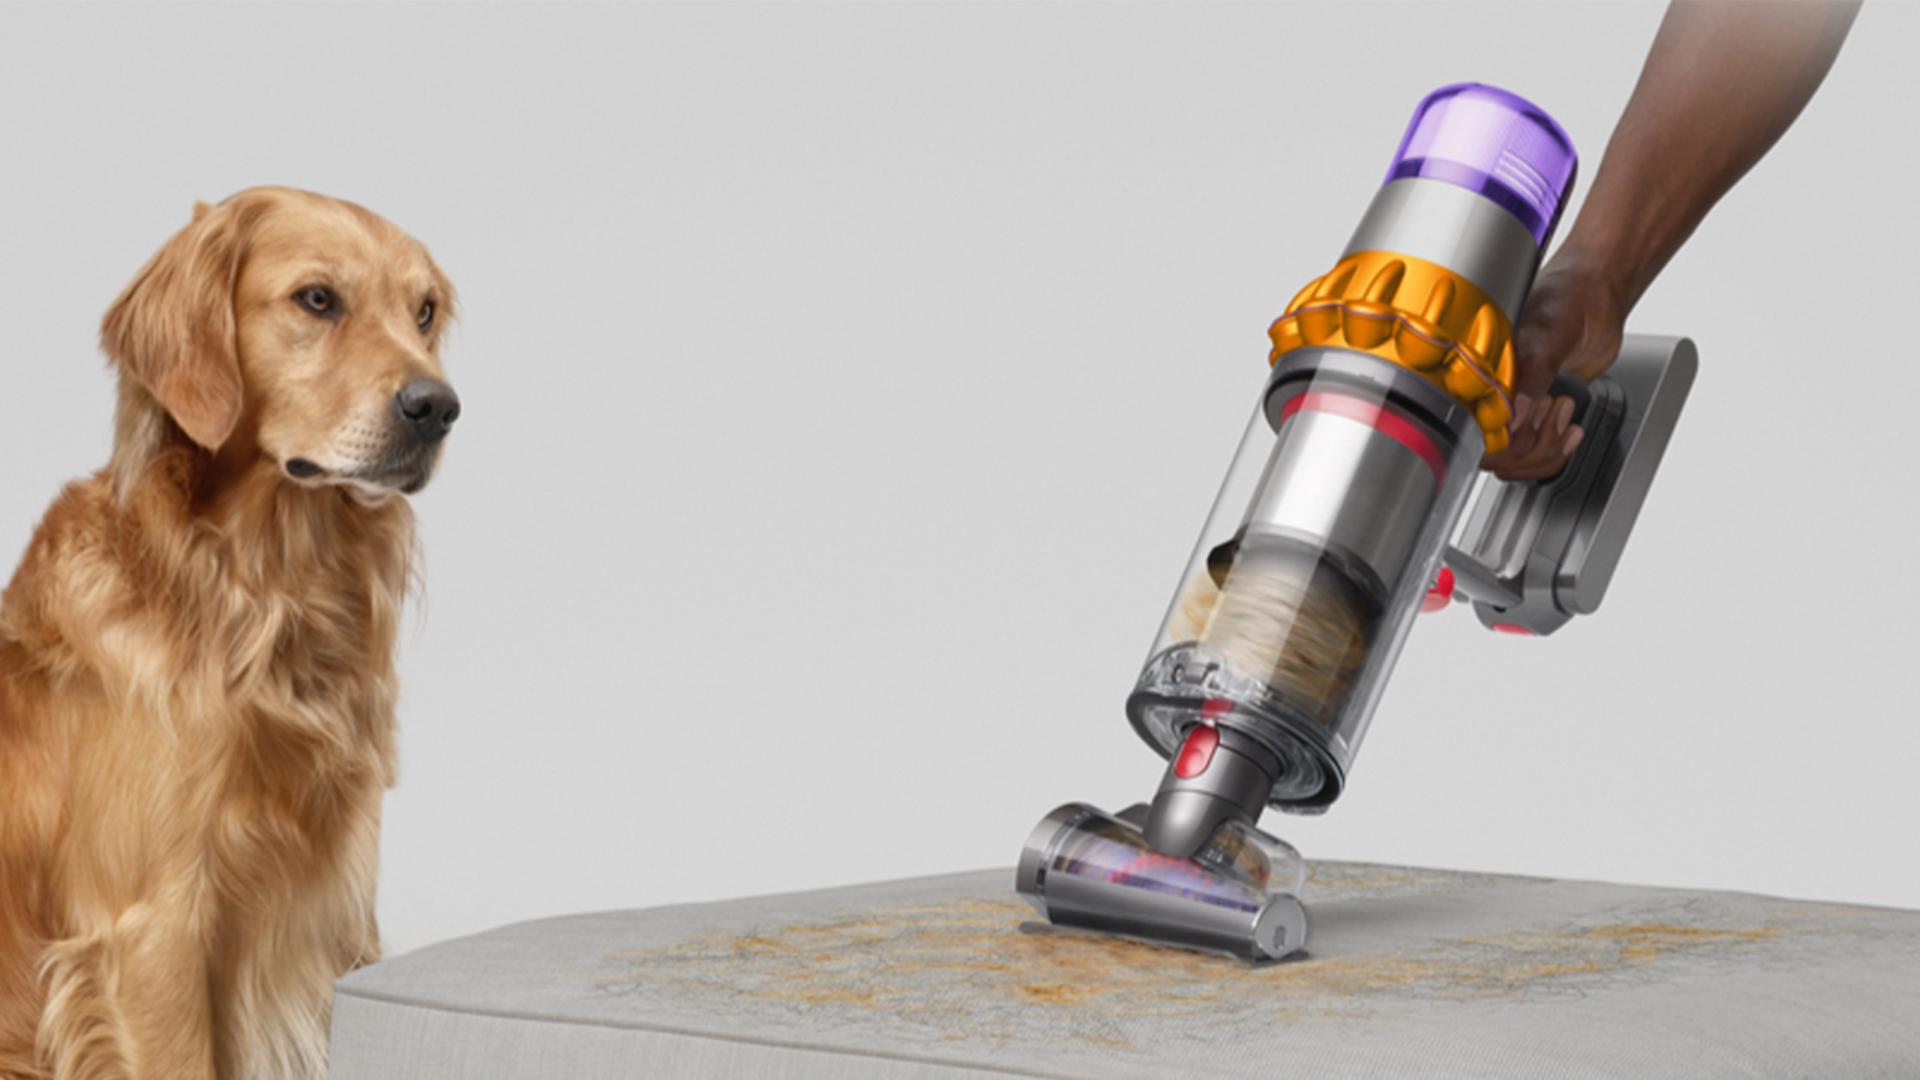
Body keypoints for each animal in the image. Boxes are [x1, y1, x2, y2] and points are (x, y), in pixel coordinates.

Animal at [0, 189, 456, 1068]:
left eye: (423, 312)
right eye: (317, 299)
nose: (439, 408)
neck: (263, 591)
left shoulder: (335, 914)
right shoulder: (153, 929)